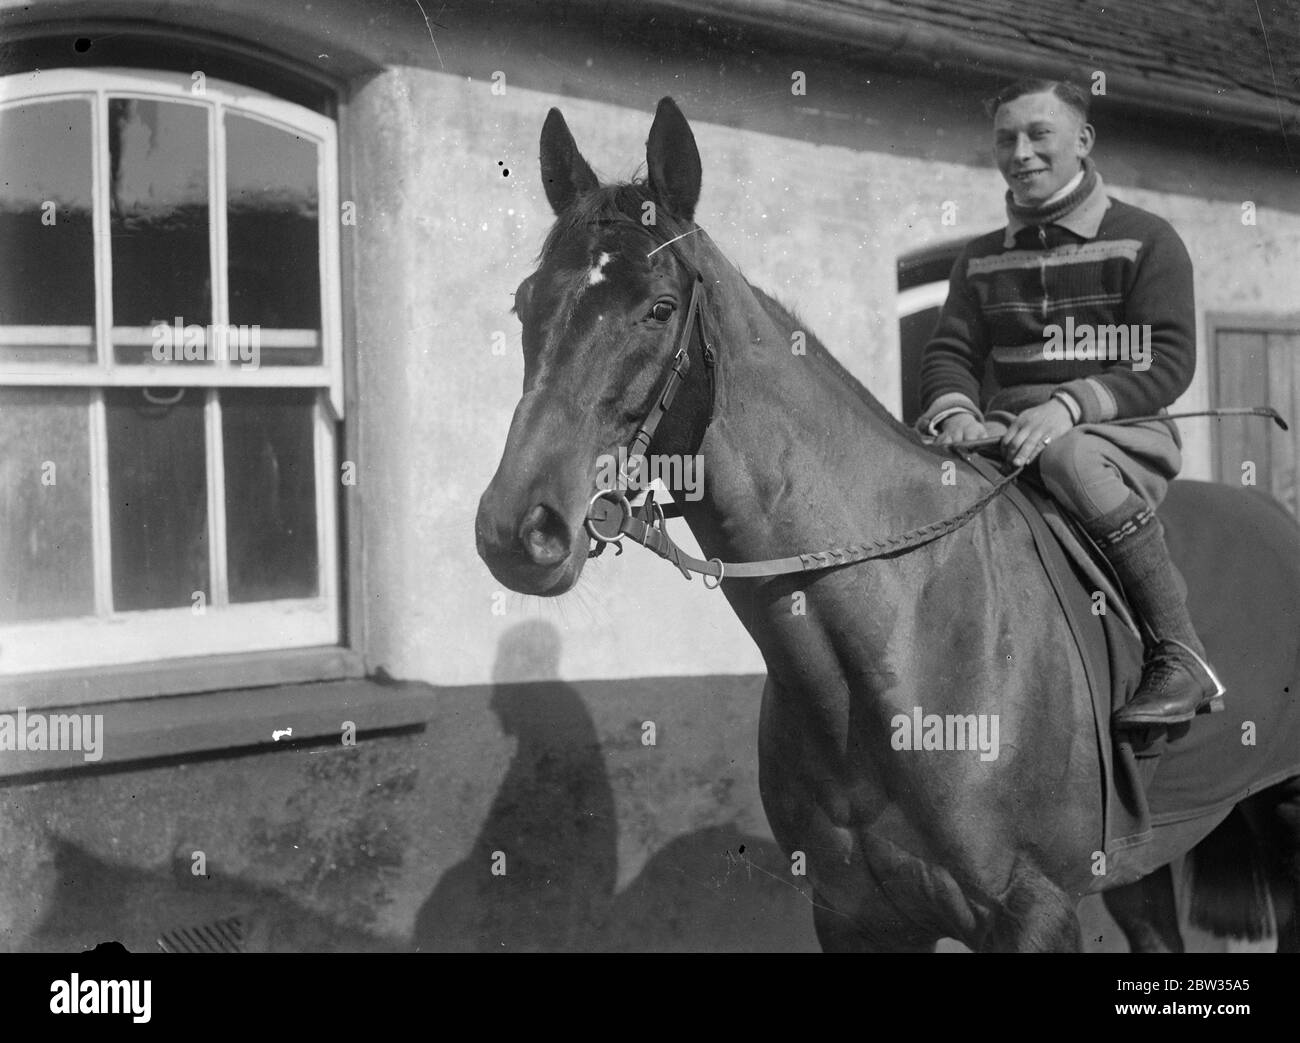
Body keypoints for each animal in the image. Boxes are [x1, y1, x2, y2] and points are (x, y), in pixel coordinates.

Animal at [475, 97, 1300, 951]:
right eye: (525, 304)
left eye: (660, 308)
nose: (519, 527)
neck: (897, 634)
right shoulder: (854, 915)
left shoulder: (1037, 911)